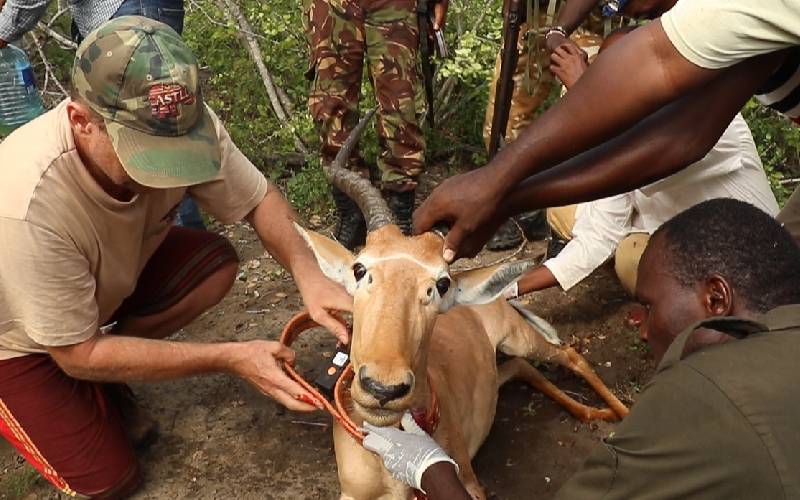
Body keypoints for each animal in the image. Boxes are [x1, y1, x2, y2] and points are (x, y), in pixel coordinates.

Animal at [296, 111, 632, 498]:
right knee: (523, 368)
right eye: (360, 268)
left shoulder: (468, 482)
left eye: (441, 284)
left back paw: (619, 415)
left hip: (518, 338)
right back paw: (595, 414)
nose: (383, 388)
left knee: (571, 355)